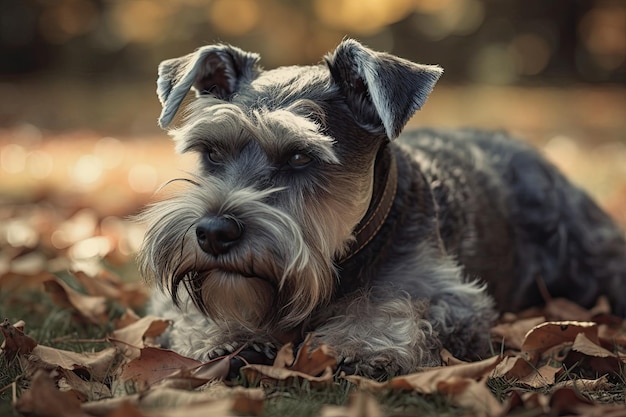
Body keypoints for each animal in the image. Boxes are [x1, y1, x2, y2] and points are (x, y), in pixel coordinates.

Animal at [139, 39, 624, 376]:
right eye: (212, 152)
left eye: (299, 156)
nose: (213, 233)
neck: (347, 253)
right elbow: (187, 312)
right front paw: (222, 334)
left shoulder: (454, 298)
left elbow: (397, 305)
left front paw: (362, 343)